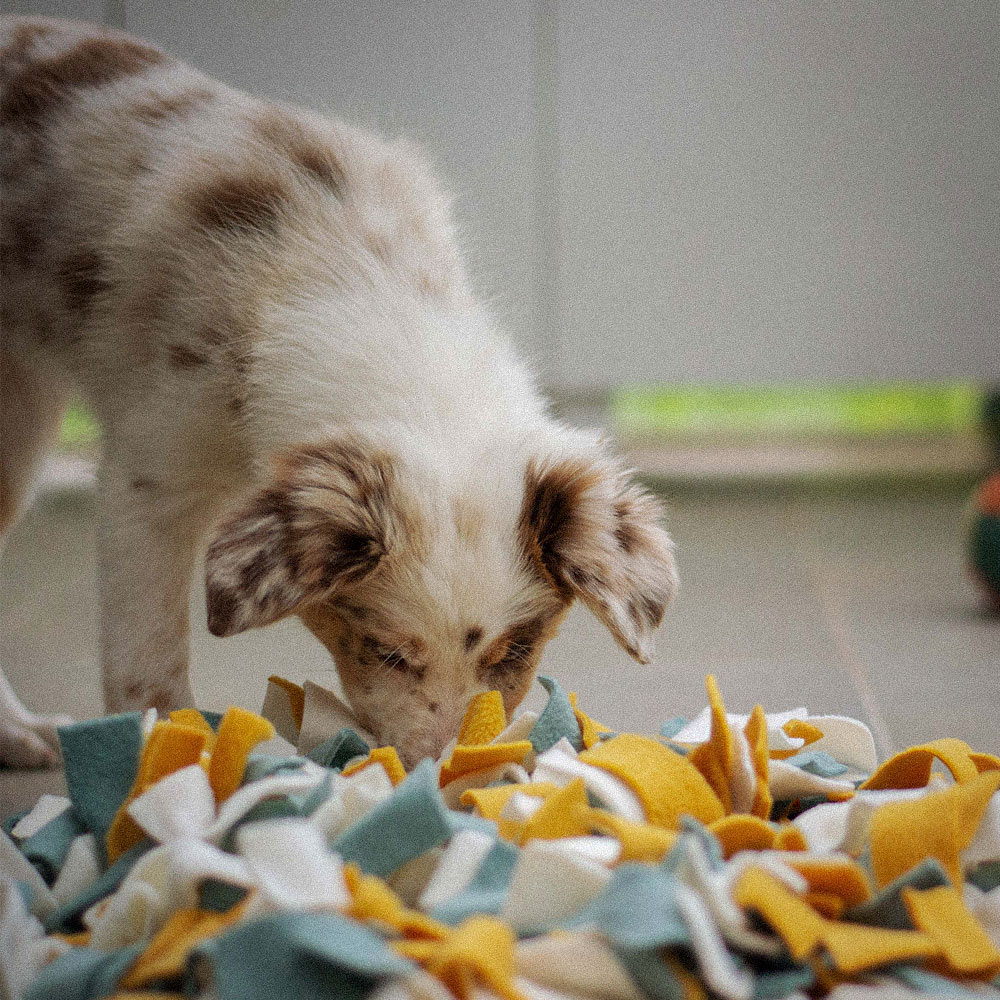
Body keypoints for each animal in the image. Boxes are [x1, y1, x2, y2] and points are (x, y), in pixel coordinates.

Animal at [1, 19, 680, 768]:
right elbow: (147, 659)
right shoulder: (152, 474)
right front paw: (174, 760)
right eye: (384, 650)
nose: (440, 769)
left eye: (516, 651)